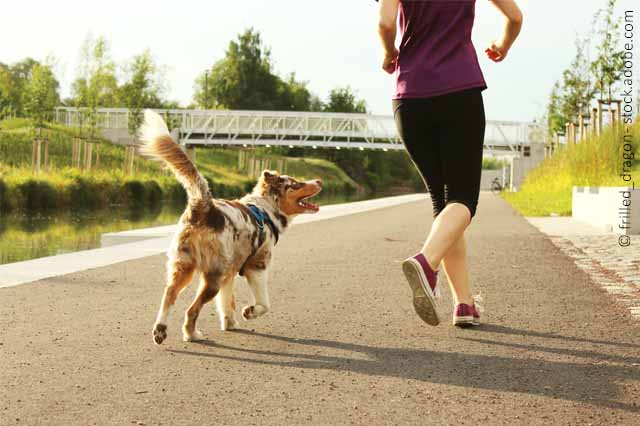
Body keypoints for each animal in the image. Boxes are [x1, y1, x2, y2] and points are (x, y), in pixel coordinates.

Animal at [139, 108, 320, 344]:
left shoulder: (230, 272)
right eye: (296, 184)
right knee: (191, 309)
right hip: (212, 276)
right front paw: (249, 312)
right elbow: (264, 303)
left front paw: (229, 323)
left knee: (169, 294)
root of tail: (204, 207)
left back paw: (160, 331)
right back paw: (191, 334)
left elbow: (227, 303)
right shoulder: (257, 265)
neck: (266, 209)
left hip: (184, 266)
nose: (319, 181)